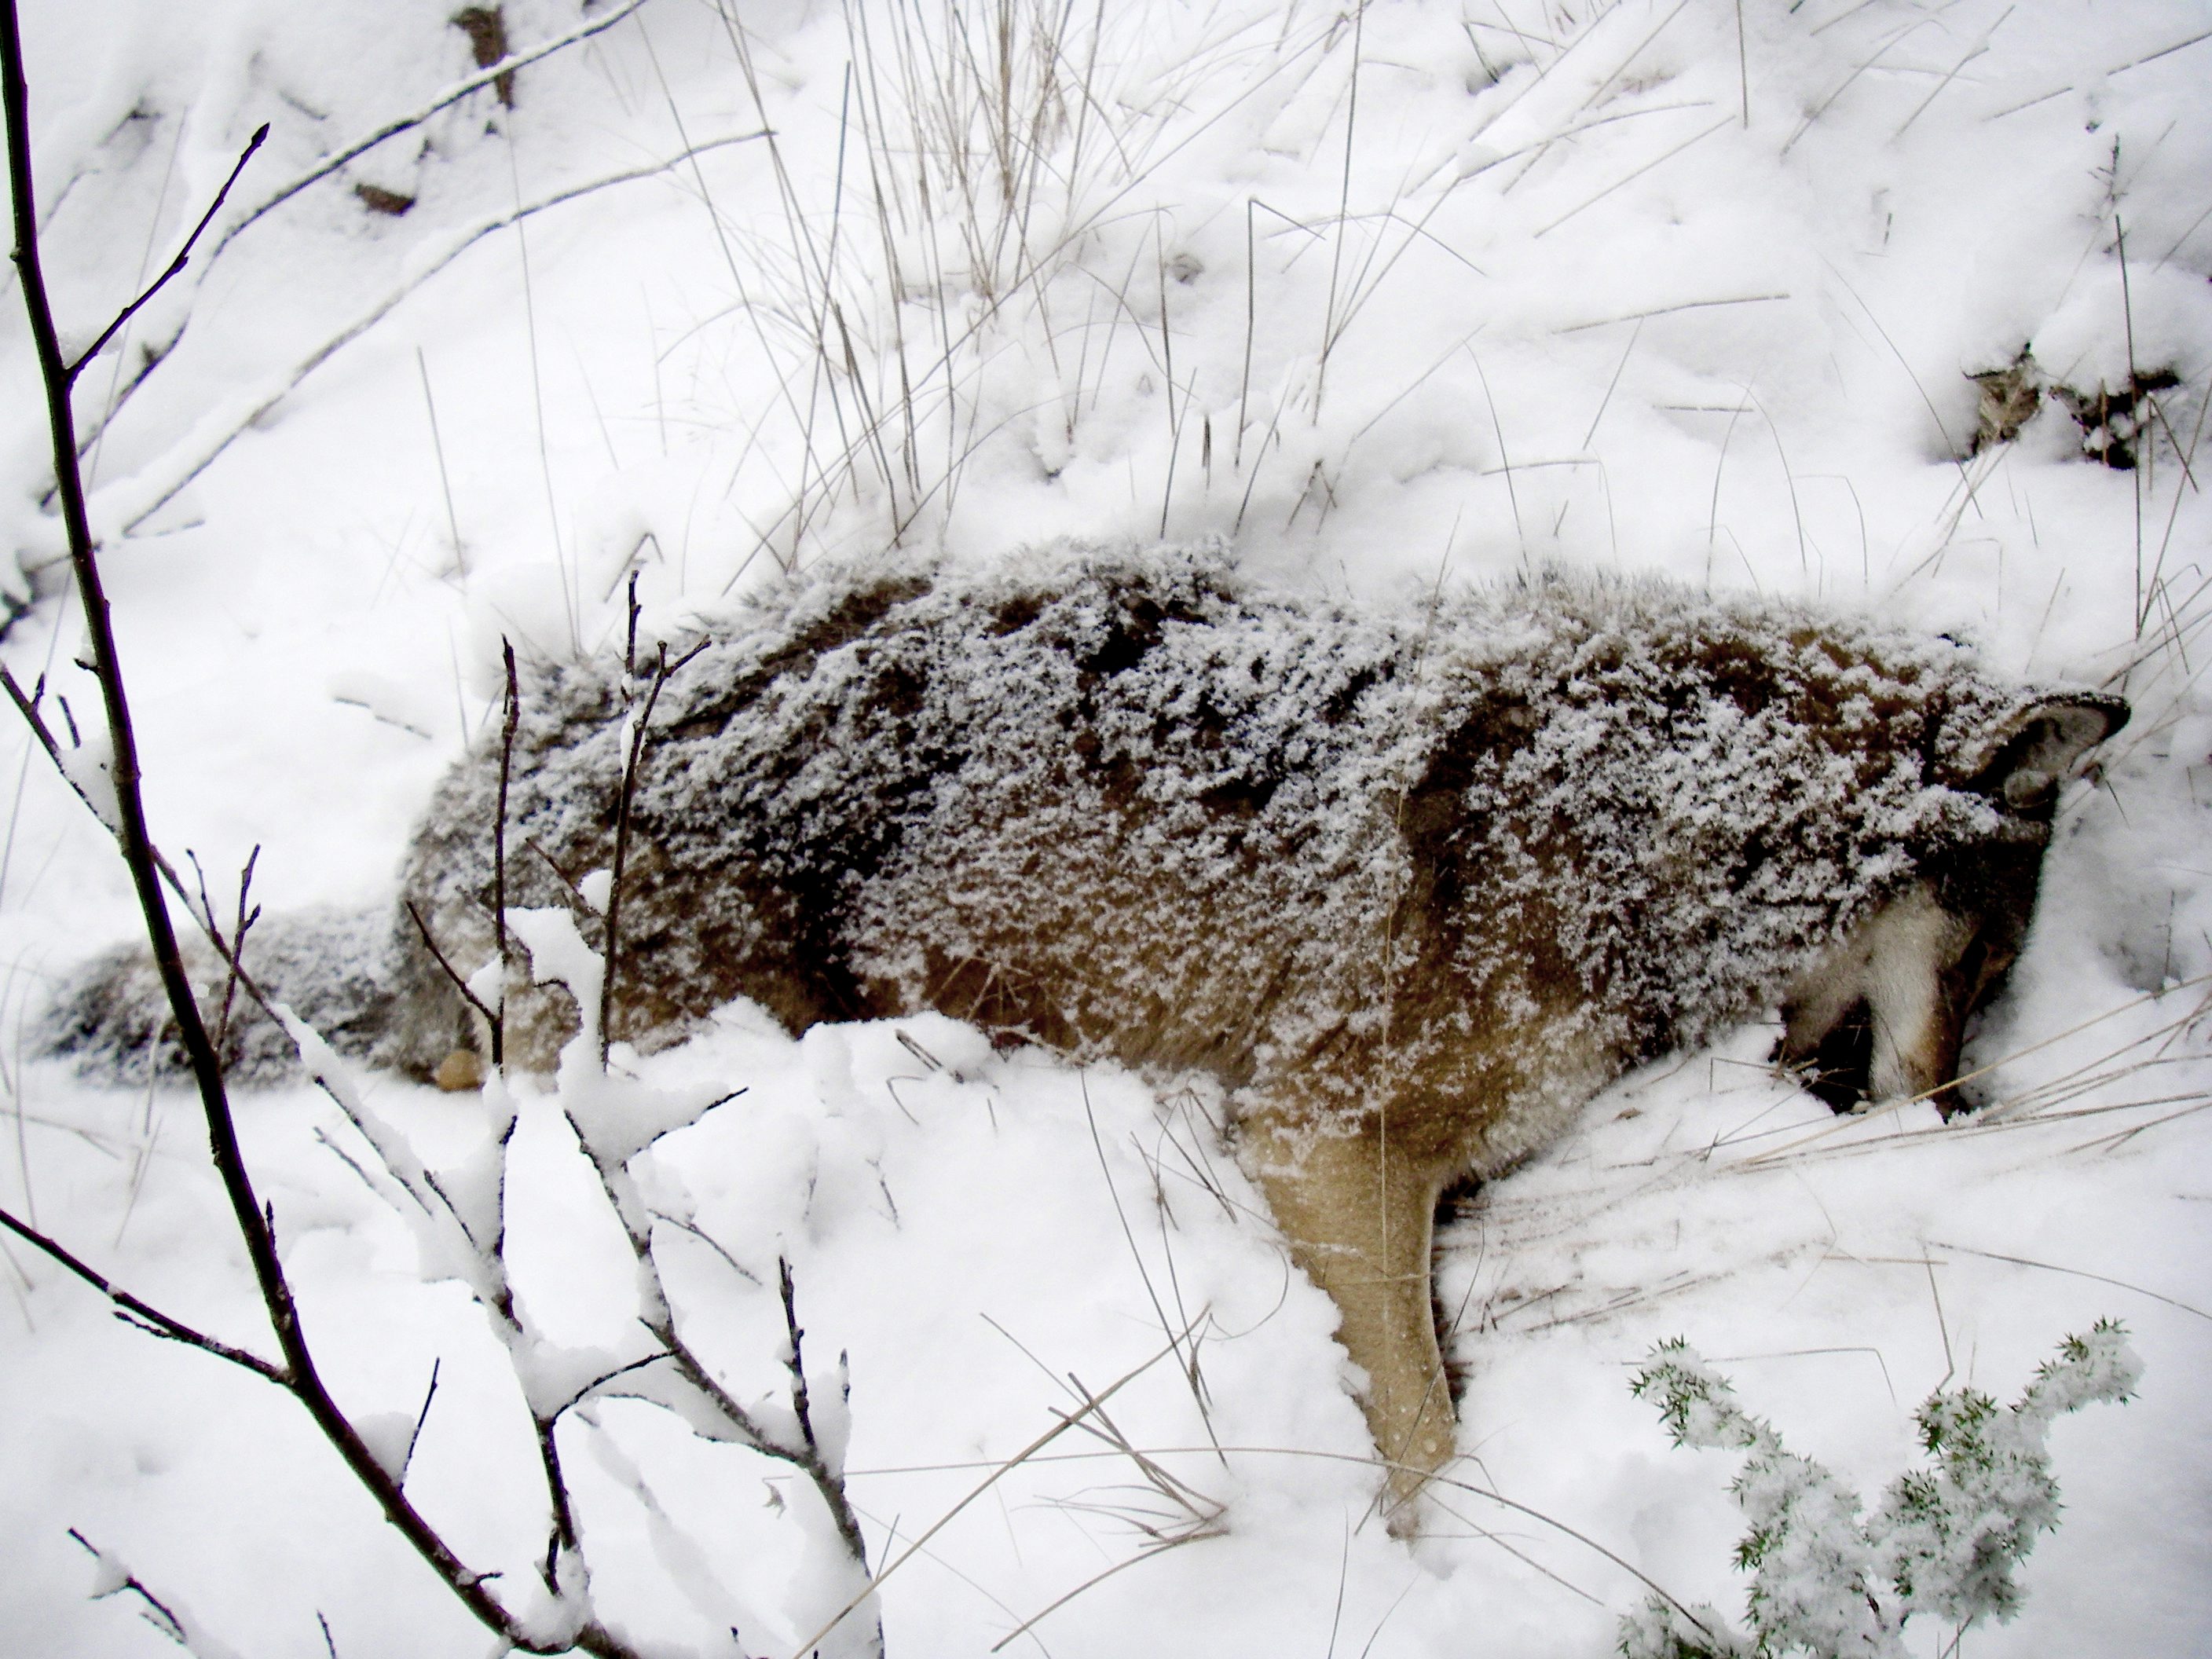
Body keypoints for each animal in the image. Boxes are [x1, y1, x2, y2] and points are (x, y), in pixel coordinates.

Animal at [46, 542, 2126, 1521]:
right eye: (1992, 975)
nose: (1973, 1124)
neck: (1650, 810)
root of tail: (457, 803)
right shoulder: (1315, 1134)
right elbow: (1426, 1426)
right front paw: (1443, 1560)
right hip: (702, 1027)